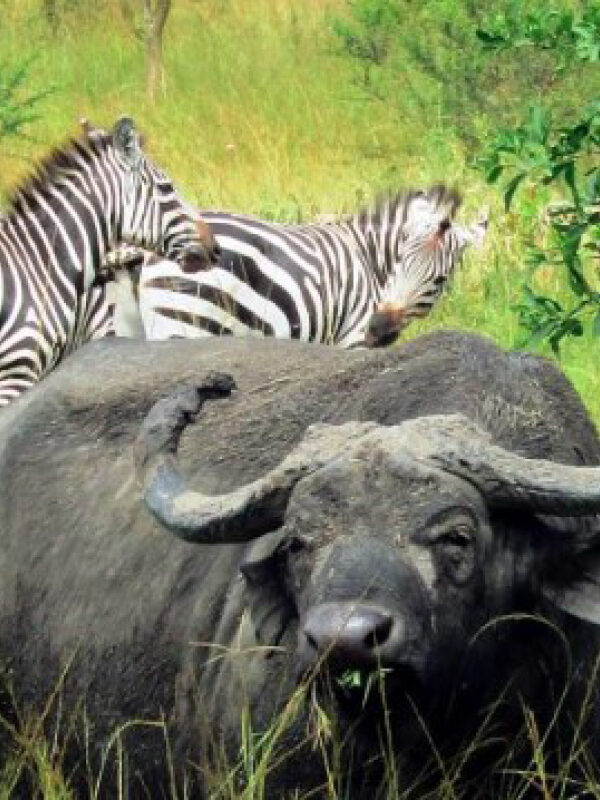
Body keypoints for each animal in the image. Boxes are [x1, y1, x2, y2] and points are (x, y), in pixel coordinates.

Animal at [108, 186, 488, 347]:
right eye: (398, 264)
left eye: (439, 279)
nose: (378, 327)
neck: (370, 260)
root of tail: (151, 254)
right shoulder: (352, 338)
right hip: (187, 324)